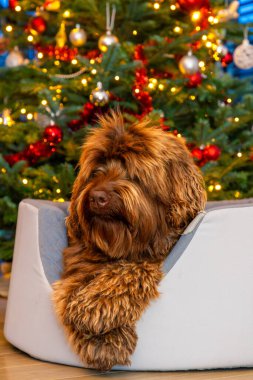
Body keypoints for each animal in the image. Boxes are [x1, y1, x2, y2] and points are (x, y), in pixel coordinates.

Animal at [52, 110, 207, 372]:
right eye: (96, 170)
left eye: (134, 174)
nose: (97, 197)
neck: (126, 244)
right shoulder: (77, 266)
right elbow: (70, 291)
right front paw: (102, 340)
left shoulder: (150, 261)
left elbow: (132, 270)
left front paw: (93, 308)